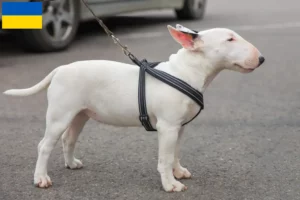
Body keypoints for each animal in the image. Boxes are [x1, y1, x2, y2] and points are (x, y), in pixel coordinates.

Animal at [3, 24, 264, 192]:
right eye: (229, 39)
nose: (261, 59)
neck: (185, 72)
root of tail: (60, 69)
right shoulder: (167, 127)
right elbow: (164, 158)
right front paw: (171, 185)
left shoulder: (179, 127)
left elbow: (175, 153)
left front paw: (178, 172)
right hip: (60, 115)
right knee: (44, 145)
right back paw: (41, 178)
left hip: (79, 115)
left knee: (69, 139)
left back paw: (72, 163)